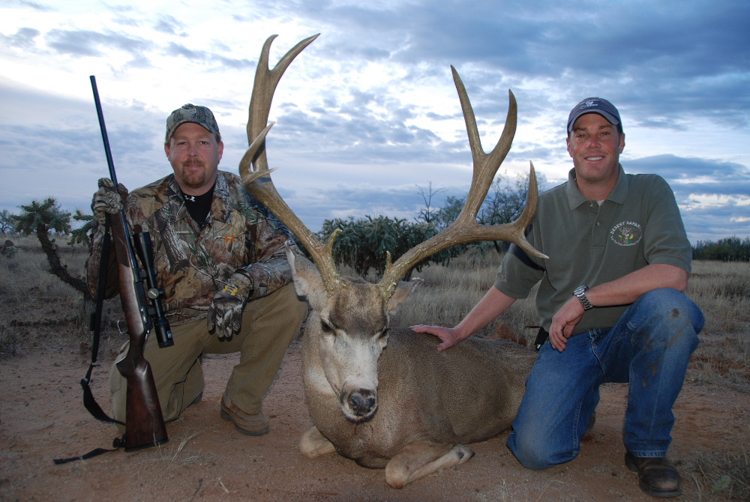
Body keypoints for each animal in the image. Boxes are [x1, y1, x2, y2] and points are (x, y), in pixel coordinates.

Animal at [244, 34, 548, 486]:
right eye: (327, 324)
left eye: (385, 329)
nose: (362, 400)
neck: (361, 436)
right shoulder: (325, 435)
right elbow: (306, 441)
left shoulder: (435, 430)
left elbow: (396, 470)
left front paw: (461, 452)